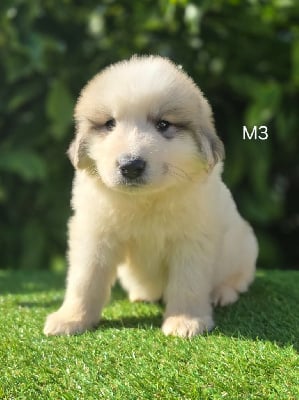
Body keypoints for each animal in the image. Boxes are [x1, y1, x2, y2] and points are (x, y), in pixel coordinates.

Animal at [43, 55, 258, 338]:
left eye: (163, 125)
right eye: (110, 124)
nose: (131, 166)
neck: (144, 200)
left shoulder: (192, 240)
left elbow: (188, 283)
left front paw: (185, 321)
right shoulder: (94, 235)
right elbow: (85, 280)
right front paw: (70, 319)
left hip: (244, 245)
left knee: (238, 278)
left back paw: (223, 293)